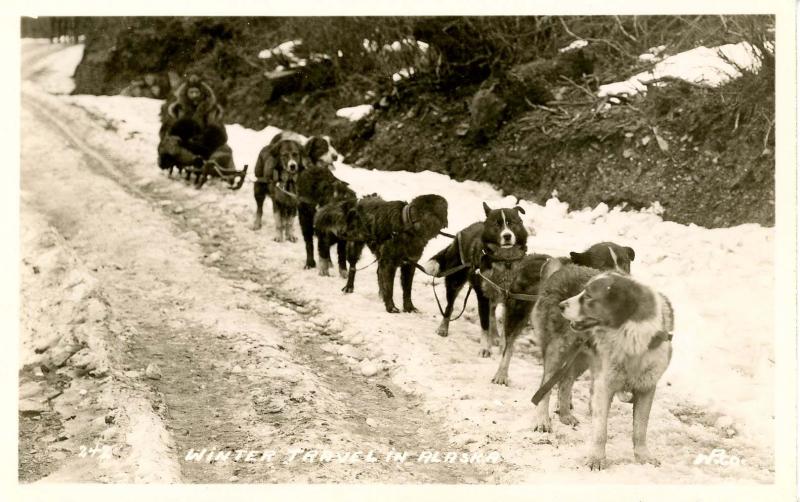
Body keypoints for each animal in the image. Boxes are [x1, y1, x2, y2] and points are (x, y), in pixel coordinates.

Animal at [536, 266, 672, 470]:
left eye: (588, 296)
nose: (561, 305)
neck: (631, 337)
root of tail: (564, 268)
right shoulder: (604, 385)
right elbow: (601, 430)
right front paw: (597, 459)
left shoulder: (646, 387)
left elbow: (640, 428)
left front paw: (643, 457)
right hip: (557, 350)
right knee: (546, 387)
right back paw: (543, 421)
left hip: (581, 356)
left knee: (566, 382)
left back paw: (566, 415)